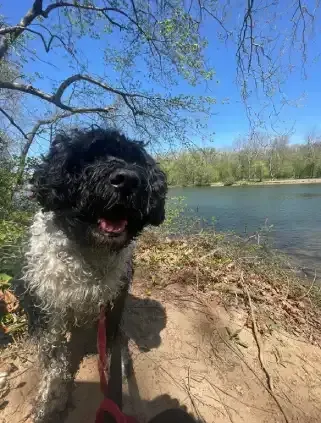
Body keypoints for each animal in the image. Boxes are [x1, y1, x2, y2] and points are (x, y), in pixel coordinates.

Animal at [18, 129, 166, 423]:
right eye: (90, 158)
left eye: (135, 160)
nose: (127, 180)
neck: (89, 253)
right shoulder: (47, 305)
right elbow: (54, 357)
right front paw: (51, 398)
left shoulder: (113, 300)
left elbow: (110, 345)